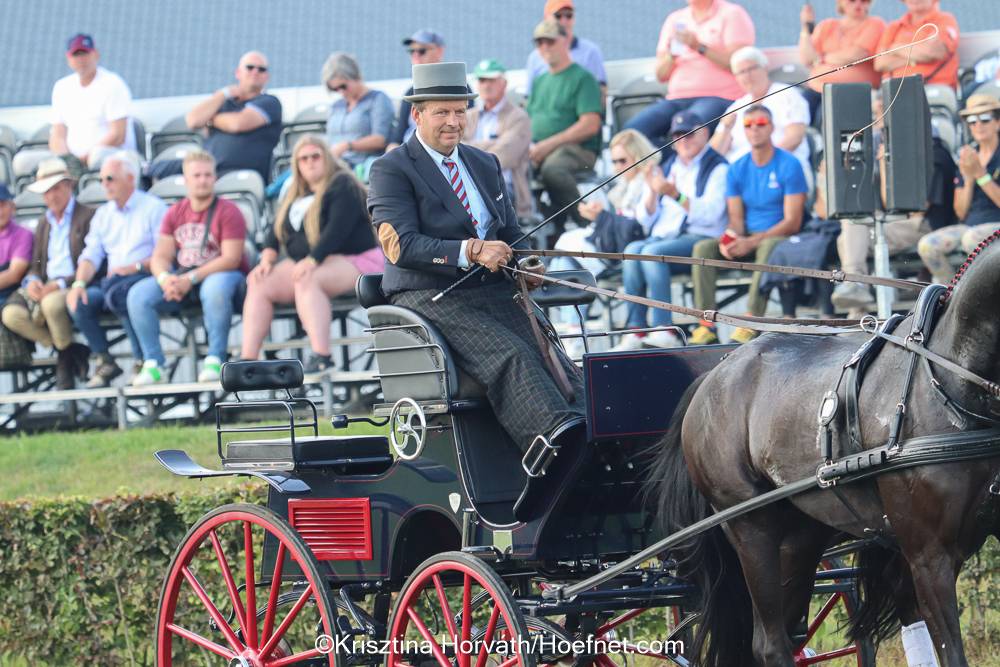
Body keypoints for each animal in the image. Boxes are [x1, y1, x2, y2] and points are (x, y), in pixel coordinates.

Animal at [648, 234, 1000, 666]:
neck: (947, 380)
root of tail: (713, 376)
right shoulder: (928, 553)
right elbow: (951, 651)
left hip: (802, 535)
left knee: (787, 632)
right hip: (751, 528)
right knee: (769, 642)